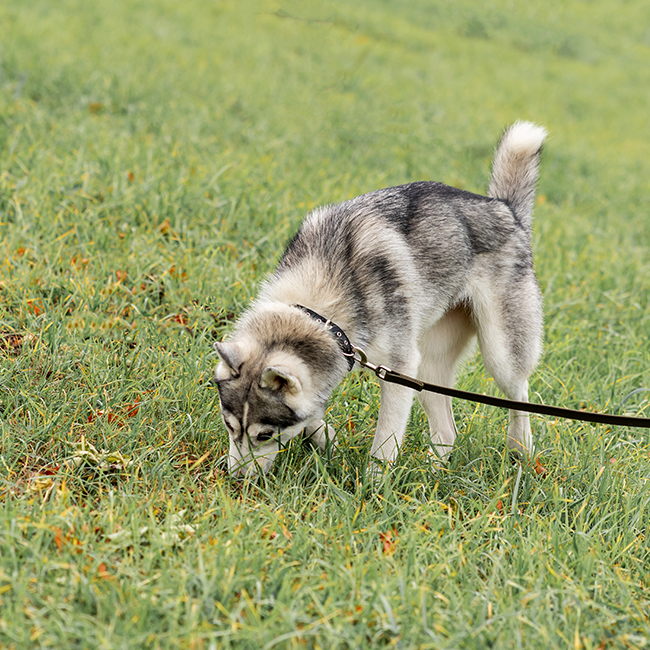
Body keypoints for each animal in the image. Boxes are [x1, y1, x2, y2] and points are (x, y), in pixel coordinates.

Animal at [215, 121, 544, 474]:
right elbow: (313, 413)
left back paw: (520, 450)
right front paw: (325, 438)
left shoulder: (399, 370)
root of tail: (504, 208)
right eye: (229, 427)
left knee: (520, 395)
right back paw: (430, 473)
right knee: (447, 431)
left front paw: (375, 480)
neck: (321, 309)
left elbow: (385, 441)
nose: (236, 479)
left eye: (264, 436)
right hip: (427, 367)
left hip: (497, 355)